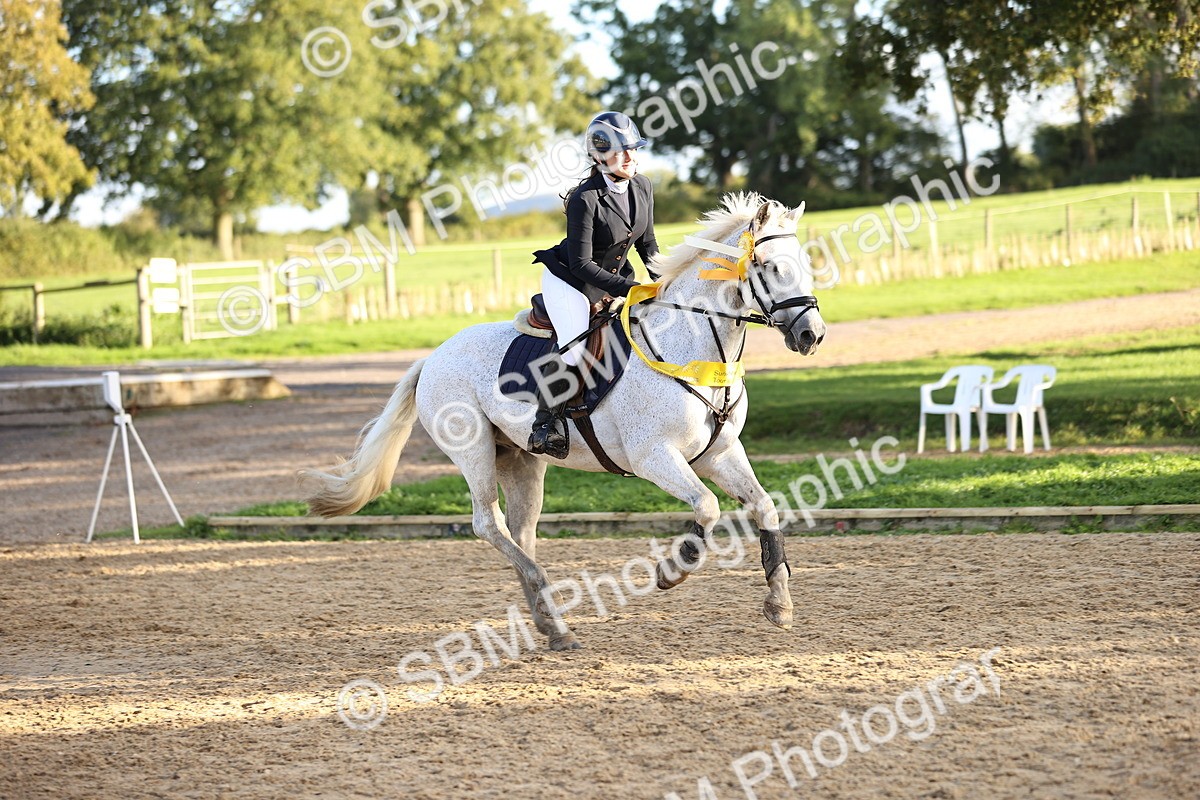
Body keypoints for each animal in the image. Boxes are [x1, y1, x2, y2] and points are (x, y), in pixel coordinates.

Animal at [300, 193, 828, 650]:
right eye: (771, 267)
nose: (812, 335)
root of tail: (431, 357)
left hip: (521, 460)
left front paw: (779, 604)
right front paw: (673, 571)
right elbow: (708, 507)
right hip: (473, 452)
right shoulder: (654, 457)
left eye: (805, 265)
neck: (692, 347)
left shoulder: (720, 453)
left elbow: (764, 507)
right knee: (488, 523)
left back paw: (552, 625)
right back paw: (546, 600)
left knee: (521, 531)